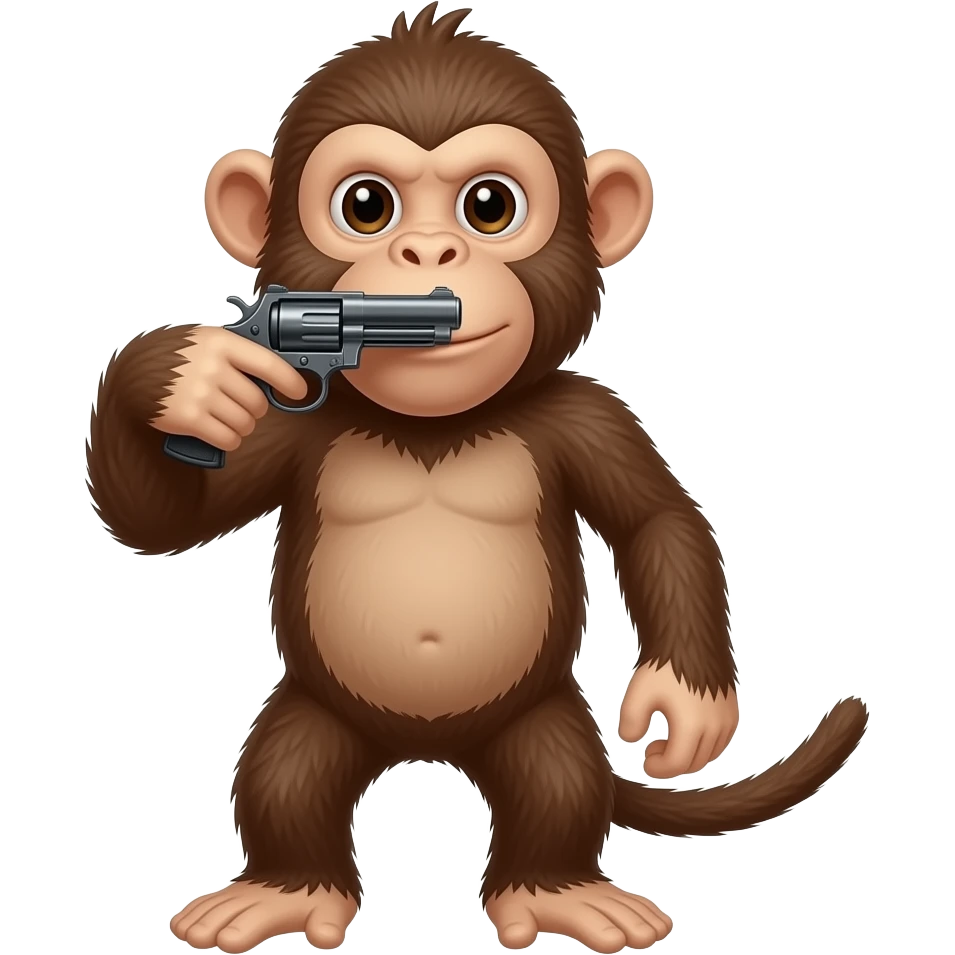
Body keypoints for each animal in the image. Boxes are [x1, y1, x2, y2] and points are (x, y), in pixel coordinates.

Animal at [85, 6, 869, 954]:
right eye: (365, 205)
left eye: (489, 204)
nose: (431, 254)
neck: (432, 427)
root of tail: (426, 745)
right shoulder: (281, 414)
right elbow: (162, 523)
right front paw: (176, 378)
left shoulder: (588, 417)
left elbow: (657, 519)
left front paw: (683, 708)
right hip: (314, 713)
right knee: (284, 775)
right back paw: (284, 893)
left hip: (541, 722)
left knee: (556, 783)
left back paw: (558, 894)